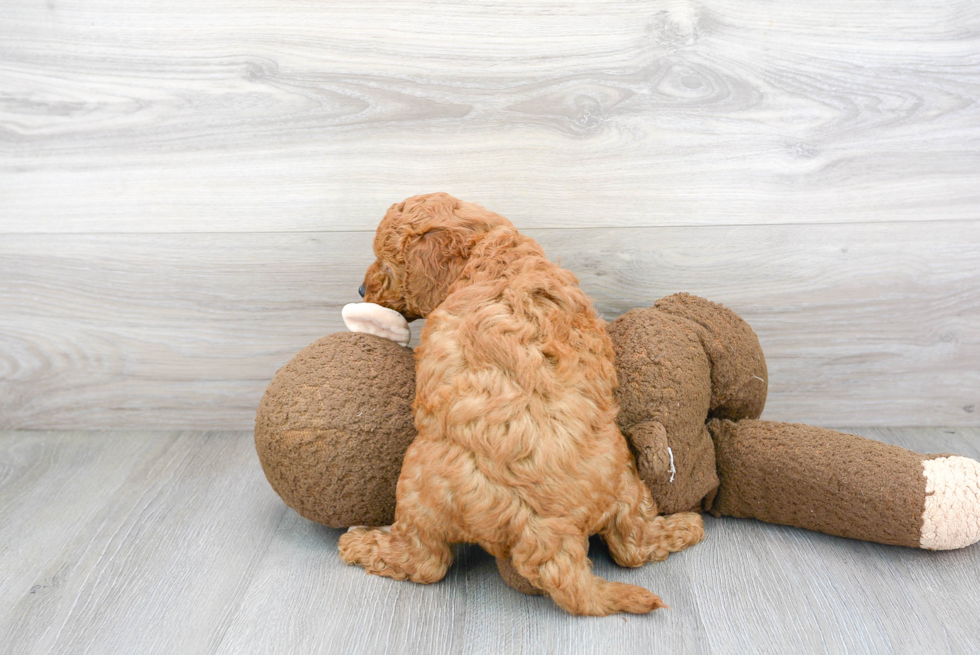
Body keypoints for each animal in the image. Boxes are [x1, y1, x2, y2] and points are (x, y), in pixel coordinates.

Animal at [338, 193, 704, 616]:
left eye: (385, 262)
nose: (359, 289)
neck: (491, 251)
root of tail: (549, 534)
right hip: (626, 478)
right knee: (634, 545)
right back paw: (686, 525)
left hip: (417, 480)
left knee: (425, 562)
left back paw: (360, 542)